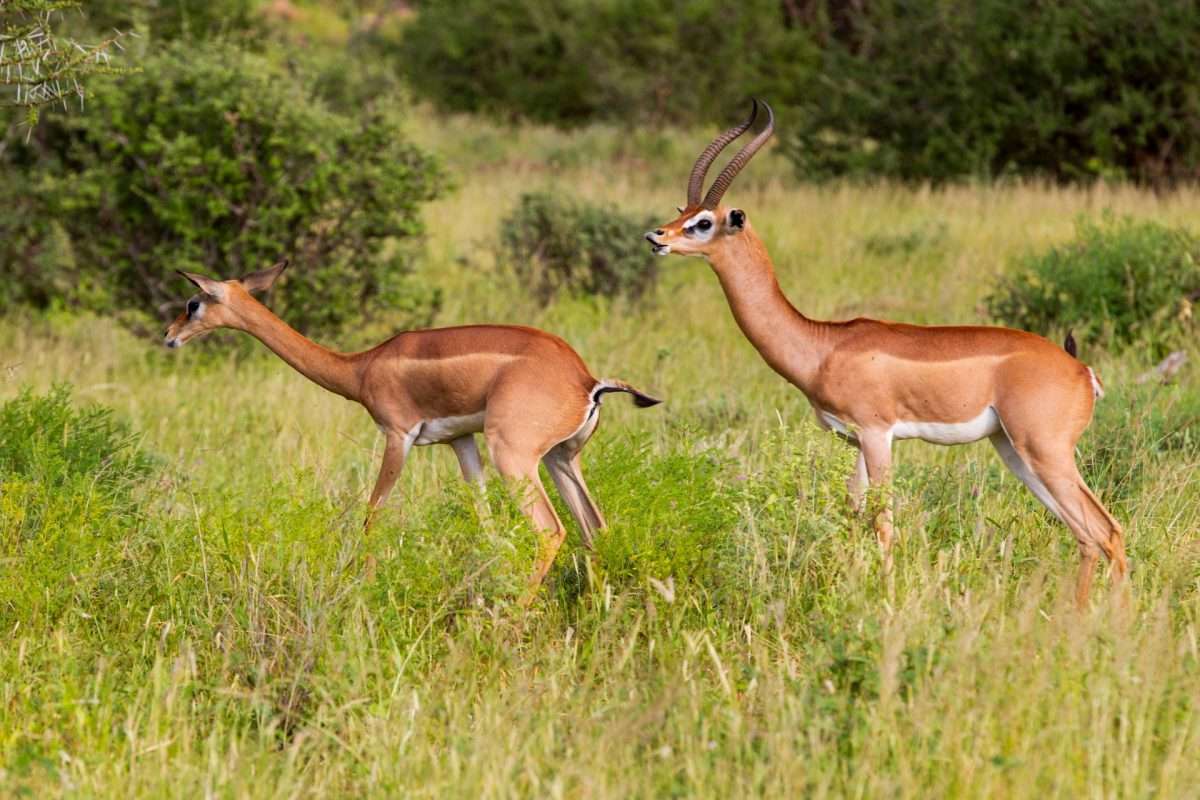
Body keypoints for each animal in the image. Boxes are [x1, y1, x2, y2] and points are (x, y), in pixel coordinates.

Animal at [164, 262, 660, 596]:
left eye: (193, 302)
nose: (169, 336)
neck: (361, 368)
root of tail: (586, 380)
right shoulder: (460, 441)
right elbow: (485, 523)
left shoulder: (397, 436)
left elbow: (372, 515)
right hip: (561, 458)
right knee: (594, 528)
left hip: (514, 456)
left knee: (550, 530)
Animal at [645, 100, 1127, 606]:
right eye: (683, 210)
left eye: (704, 222)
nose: (656, 236)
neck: (823, 345)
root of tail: (1081, 370)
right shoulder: (855, 441)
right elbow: (852, 515)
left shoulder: (878, 435)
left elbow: (882, 523)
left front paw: (884, 599)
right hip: (1015, 451)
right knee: (1087, 534)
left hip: (1046, 452)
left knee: (1107, 530)